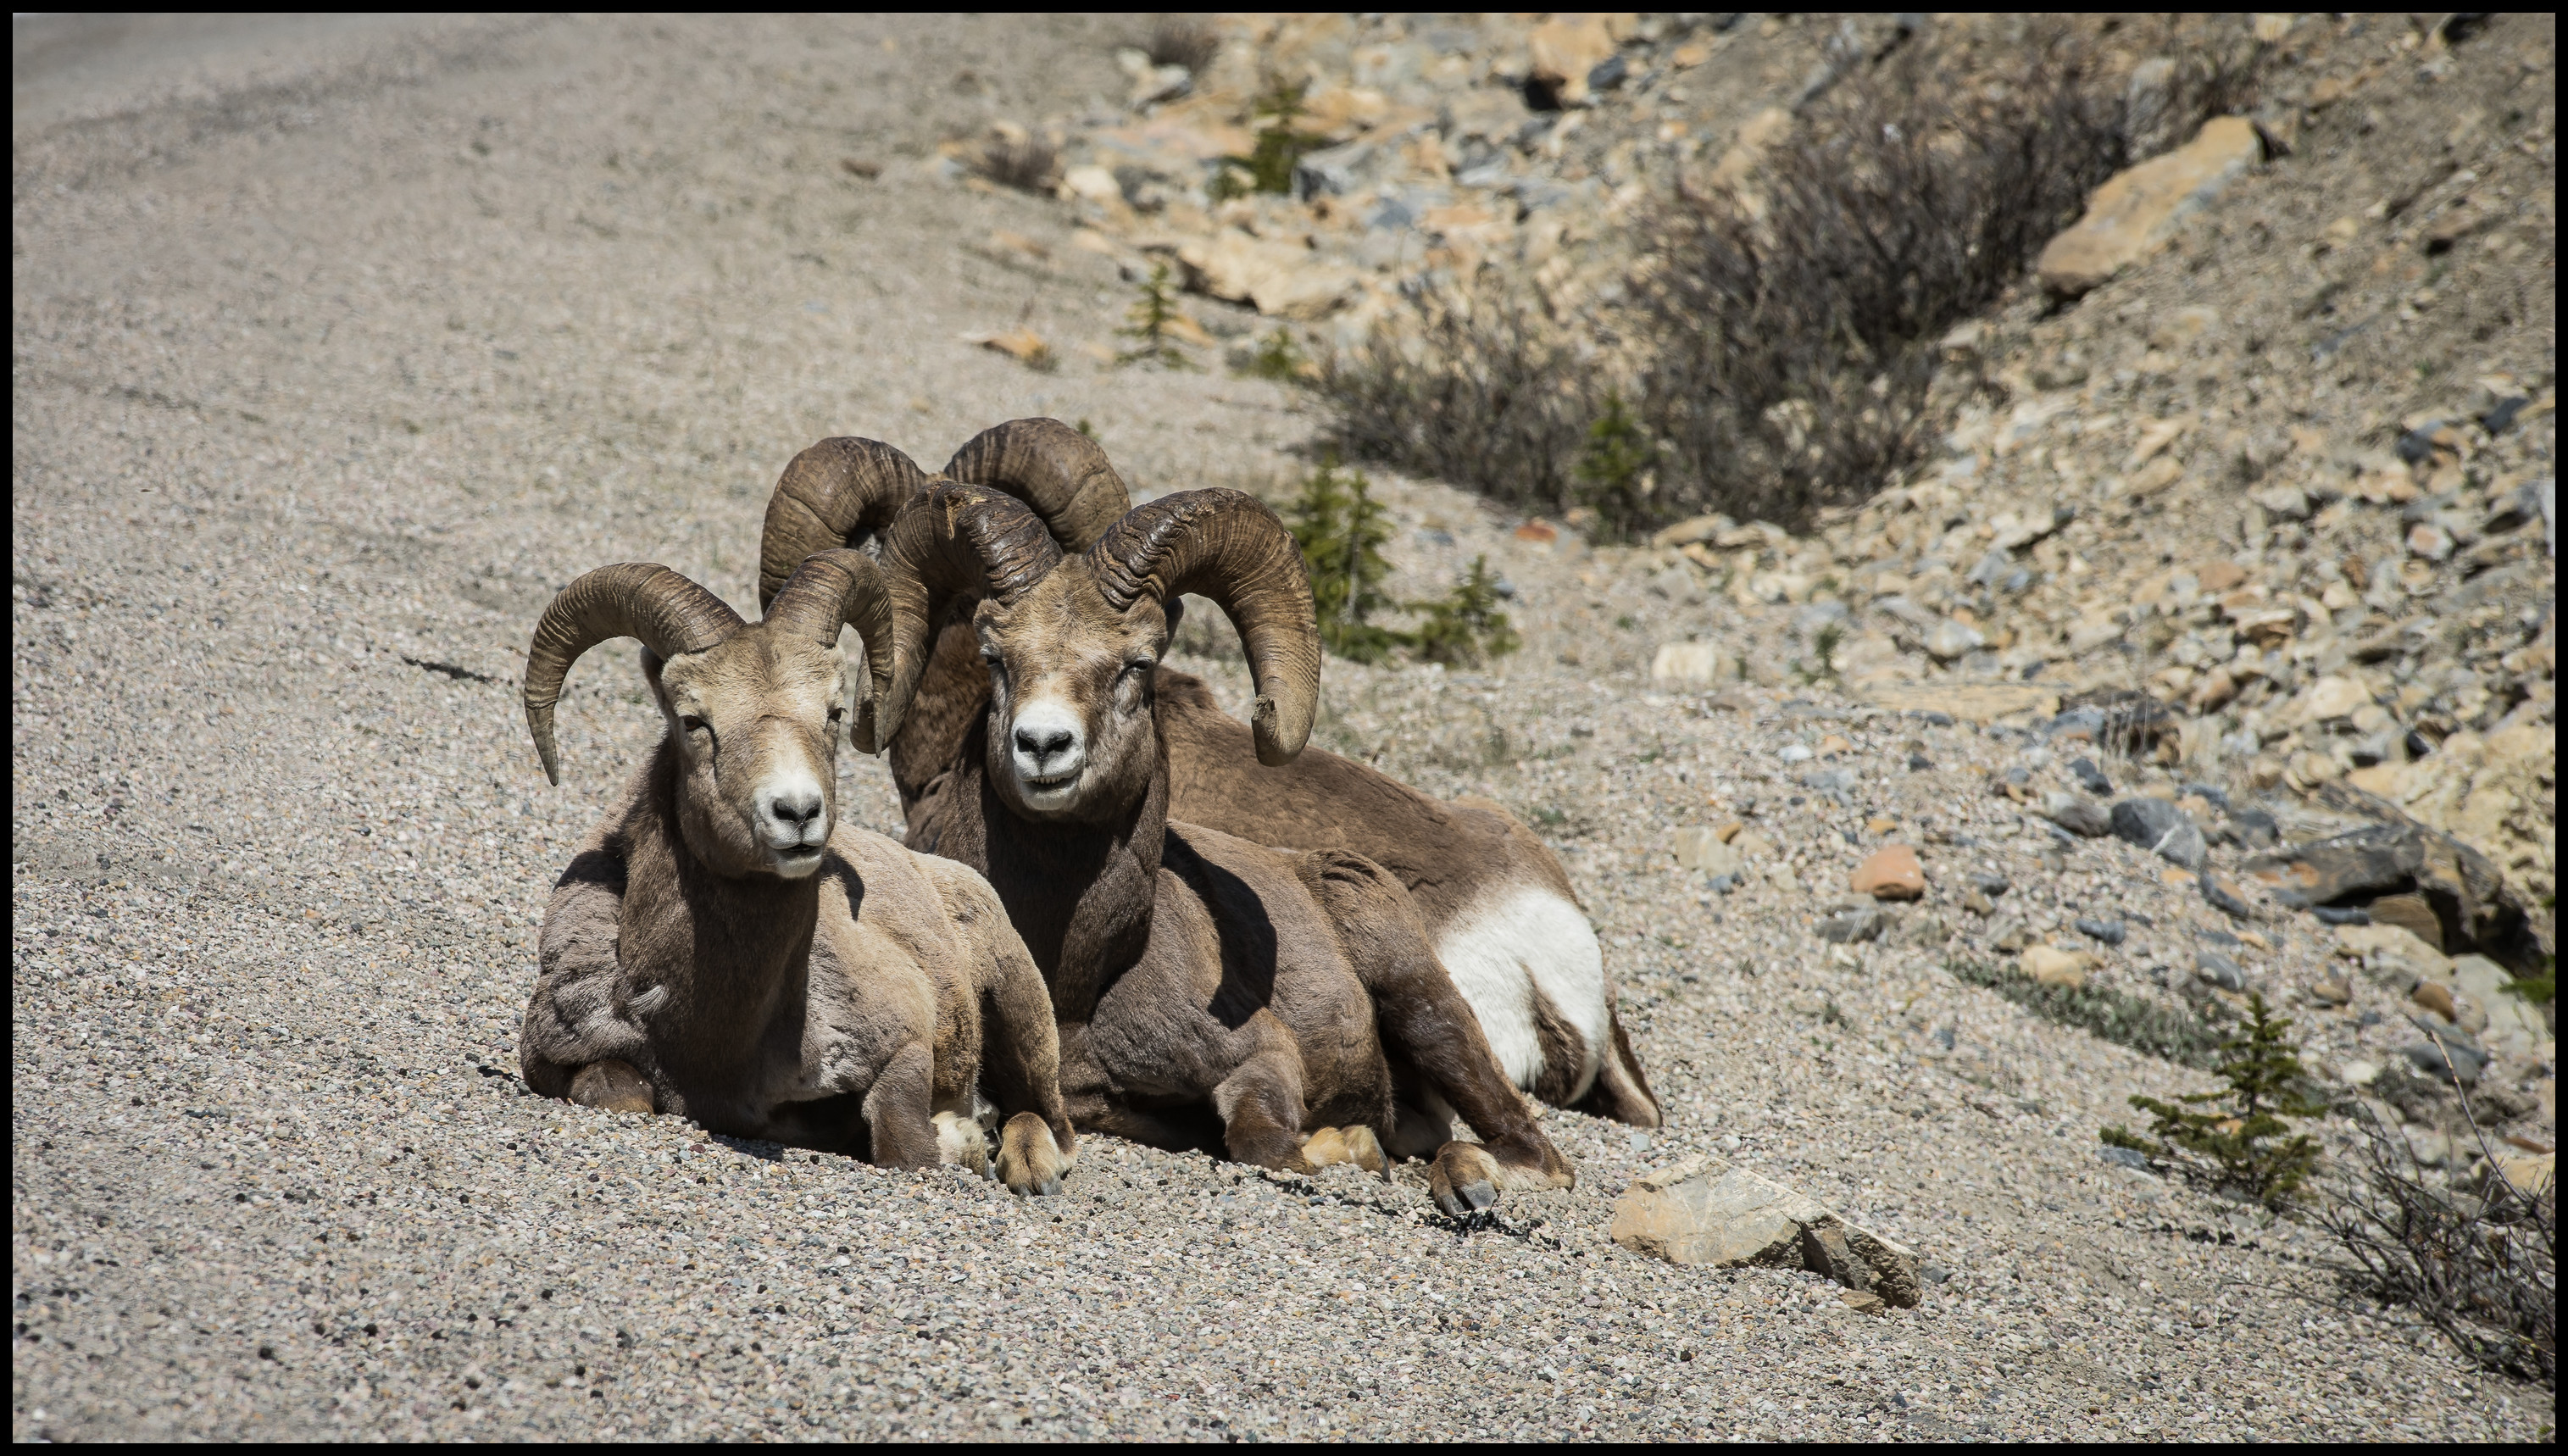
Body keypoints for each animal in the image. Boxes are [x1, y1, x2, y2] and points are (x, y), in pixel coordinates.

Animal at [516, 547, 1078, 1196]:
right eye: (693, 721)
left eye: (833, 712)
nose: (798, 812)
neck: (713, 1041)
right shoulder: (557, 1057)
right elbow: (619, 1094)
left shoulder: (904, 1040)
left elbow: (904, 1146)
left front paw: (954, 1141)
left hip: (1020, 1010)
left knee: (1049, 1120)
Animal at [863, 485, 1571, 1212]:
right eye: (995, 658)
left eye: (1138, 664)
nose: (1042, 745)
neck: (1078, 982)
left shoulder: (1261, 1058)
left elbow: (1261, 1140)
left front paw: (1351, 1148)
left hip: (1425, 1007)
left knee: (1532, 1152)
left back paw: (1468, 1179)